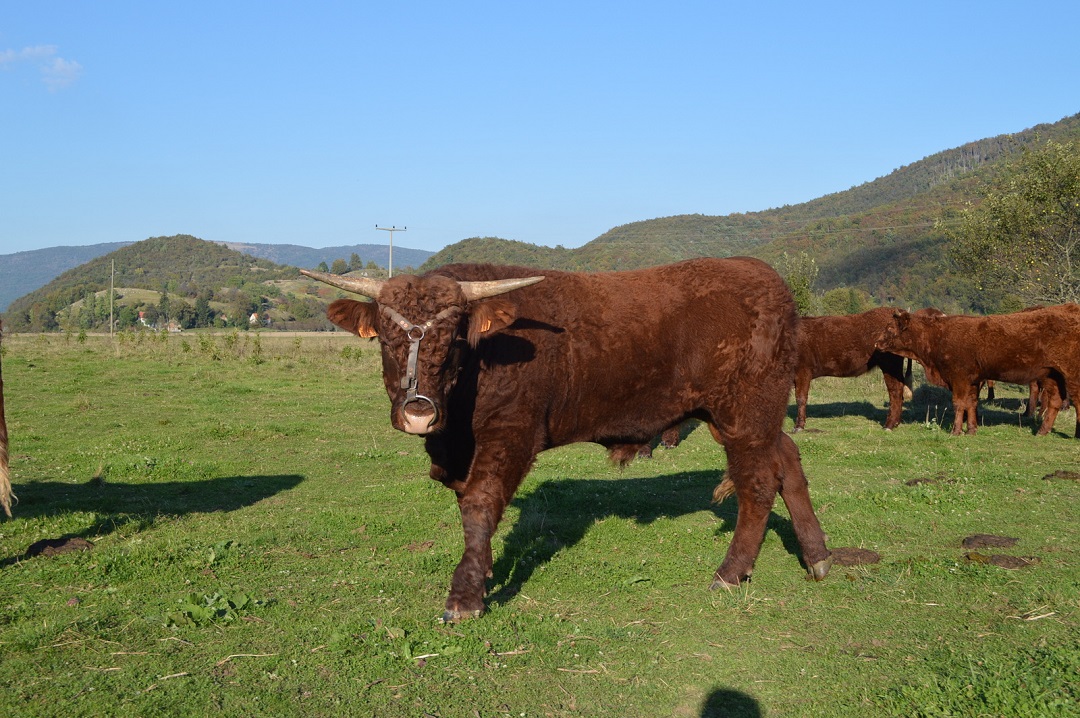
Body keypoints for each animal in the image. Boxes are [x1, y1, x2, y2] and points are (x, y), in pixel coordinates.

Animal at [304, 259, 833, 621]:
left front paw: (465, 597)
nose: (418, 412)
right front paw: (485, 570)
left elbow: (480, 504)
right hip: (750, 421)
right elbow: (469, 508)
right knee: (787, 461)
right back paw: (818, 557)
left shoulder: (511, 433)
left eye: (453, 337)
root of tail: (766, 278)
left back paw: (730, 573)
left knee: (757, 485)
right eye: (385, 337)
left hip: (746, 416)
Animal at [872, 304, 1080, 436]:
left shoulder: (959, 378)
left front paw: (956, 431)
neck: (938, 337)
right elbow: (971, 403)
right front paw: (971, 429)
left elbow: (959, 403)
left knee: (1077, 401)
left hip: (1071, 374)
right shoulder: (972, 380)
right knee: (1055, 401)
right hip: (1051, 375)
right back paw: (1042, 431)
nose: (876, 343)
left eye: (890, 328)